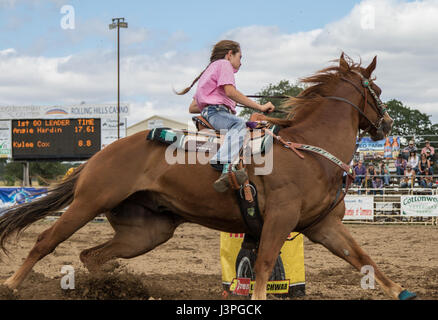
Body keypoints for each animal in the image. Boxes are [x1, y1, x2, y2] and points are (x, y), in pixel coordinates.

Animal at [0, 52, 418, 300]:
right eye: (377, 89)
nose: (387, 124)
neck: (309, 150)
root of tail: (99, 155)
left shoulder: (323, 225)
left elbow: (361, 257)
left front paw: (401, 290)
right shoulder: (280, 218)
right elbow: (264, 263)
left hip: (147, 231)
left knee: (93, 255)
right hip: (89, 202)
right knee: (45, 241)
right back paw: (13, 284)